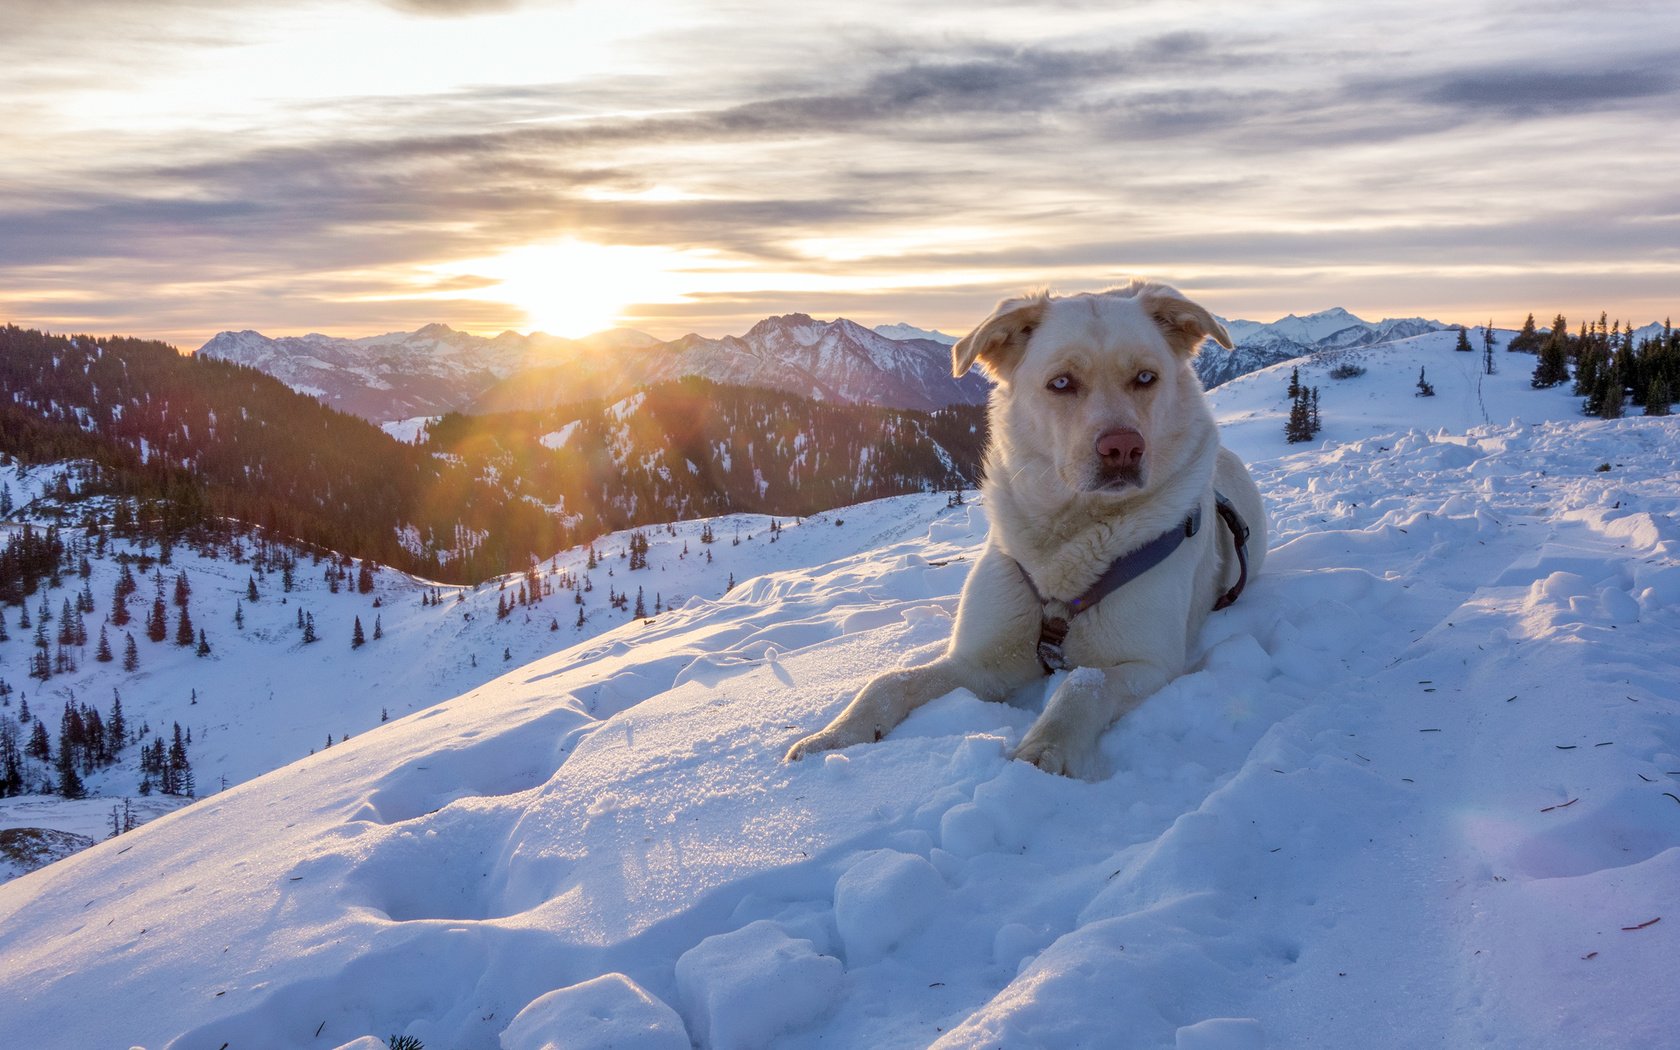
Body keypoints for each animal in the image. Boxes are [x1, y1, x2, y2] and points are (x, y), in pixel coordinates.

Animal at [792, 282, 1263, 772]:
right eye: (1061, 383)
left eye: (1146, 378)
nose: (1124, 448)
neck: (1068, 539)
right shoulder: (982, 660)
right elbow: (889, 680)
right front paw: (834, 735)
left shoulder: (1149, 664)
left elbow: (1082, 685)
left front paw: (1043, 752)